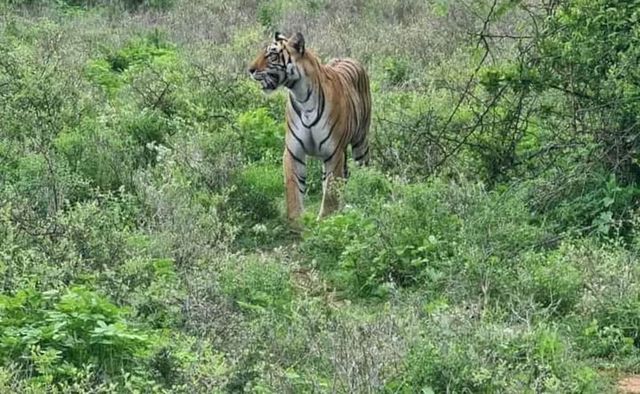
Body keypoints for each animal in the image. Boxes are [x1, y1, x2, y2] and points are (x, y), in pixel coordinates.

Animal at [248, 32, 372, 223]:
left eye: (272, 55)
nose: (250, 70)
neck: (302, 96)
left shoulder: (333, 152)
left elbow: (329, 193)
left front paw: (325, 220)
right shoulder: (293, 151)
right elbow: (293, 187)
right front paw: (296, 220)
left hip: (360, 142)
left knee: (362, 171)